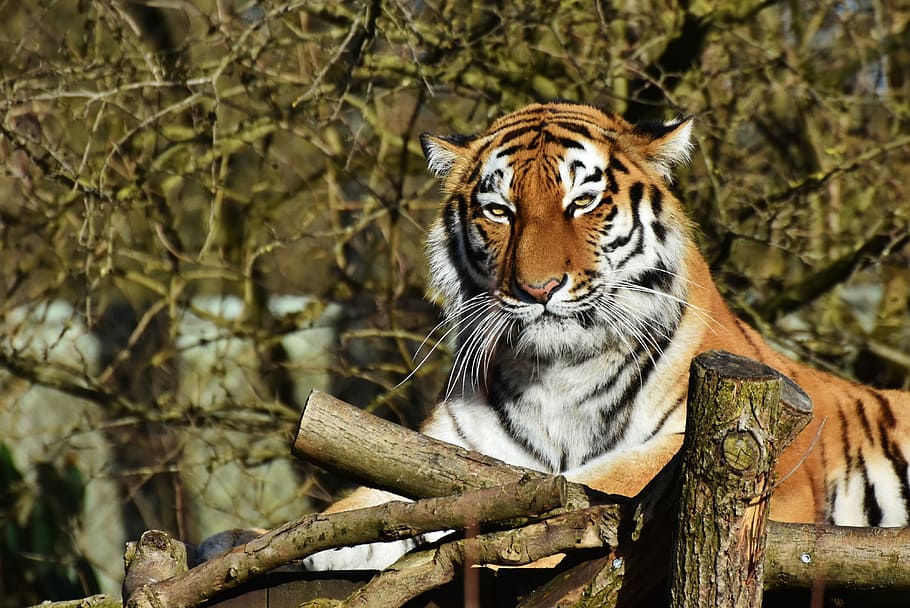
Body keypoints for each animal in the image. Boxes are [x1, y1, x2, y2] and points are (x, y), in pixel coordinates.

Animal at [302, 101, 910, 571]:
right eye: (500, 211)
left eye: (582, 202)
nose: (538, 288)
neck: (555, 374)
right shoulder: (451, 445)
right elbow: (359, 510)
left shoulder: (763, 463)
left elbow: (597, 491)